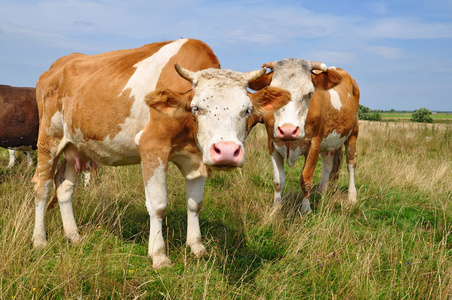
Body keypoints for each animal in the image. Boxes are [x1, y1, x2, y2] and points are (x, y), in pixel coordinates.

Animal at [33, 38, 292, 268]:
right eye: (197, 108)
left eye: (247, 110)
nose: (227, 151)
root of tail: (57, 66)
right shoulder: (152, 147)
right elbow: (158, 205)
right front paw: (158, 255)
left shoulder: (196, 159)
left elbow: (195, 204)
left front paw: (197, 246)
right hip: (49, 139)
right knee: (42, 187)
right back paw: (39, 240)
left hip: (76, 145)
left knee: (65, 188)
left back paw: (74, 236)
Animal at [249, 58, 358, 213]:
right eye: (274, 93)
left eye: (310, 93)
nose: (288, 130)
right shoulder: (272, 143)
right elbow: (278, 182)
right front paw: (275, 209)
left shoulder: (314, 143)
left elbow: (306, 179)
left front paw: (306, 209)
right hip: (328, 142)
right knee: (328, 165)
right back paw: (321, 193)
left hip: (353, 132)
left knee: (351, 163)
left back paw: (352, 196)